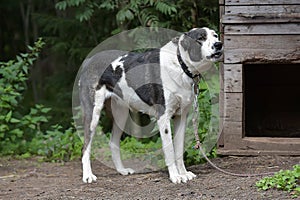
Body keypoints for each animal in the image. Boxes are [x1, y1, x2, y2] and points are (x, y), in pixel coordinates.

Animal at [78, 27, 221, 184]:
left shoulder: (181, 117)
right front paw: (175, 176)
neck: (180, 64)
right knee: (85, 147)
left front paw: (183, 173)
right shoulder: (163, 117)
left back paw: (122, 170)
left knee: (113, 142)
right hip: (93, 114)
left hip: (121, 115)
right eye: (201, 38)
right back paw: (88, 175)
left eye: (215, 35)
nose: (219, 44)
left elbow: (178, 149)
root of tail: (89, 61)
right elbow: (170, 150)